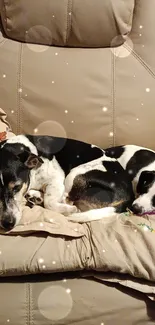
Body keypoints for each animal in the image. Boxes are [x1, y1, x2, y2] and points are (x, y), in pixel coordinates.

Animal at [0, 135, 134, 229]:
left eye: (16, 187)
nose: (7, 224)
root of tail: (129, 197)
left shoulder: (57, 179)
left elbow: (49, 203)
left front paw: (70, 209)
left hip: (74, 174)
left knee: (67, 199)